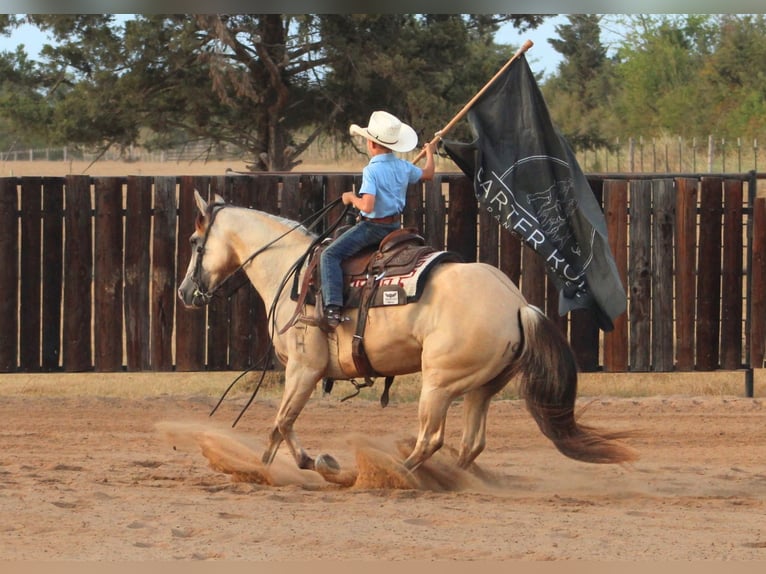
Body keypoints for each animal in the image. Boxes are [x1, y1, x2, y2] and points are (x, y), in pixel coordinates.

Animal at [177, 190, 637, 483]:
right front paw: (315, 462)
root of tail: (517, 304)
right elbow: (286, 426)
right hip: (481, 388)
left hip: (439, 383)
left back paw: (387, 475)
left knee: (430, 439)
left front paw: (259, 471)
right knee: (471, 444)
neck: (292, 269)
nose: (185, 293)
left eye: (196, 241)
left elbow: (278, 425)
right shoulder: (303, 374)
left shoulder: (305, 370)